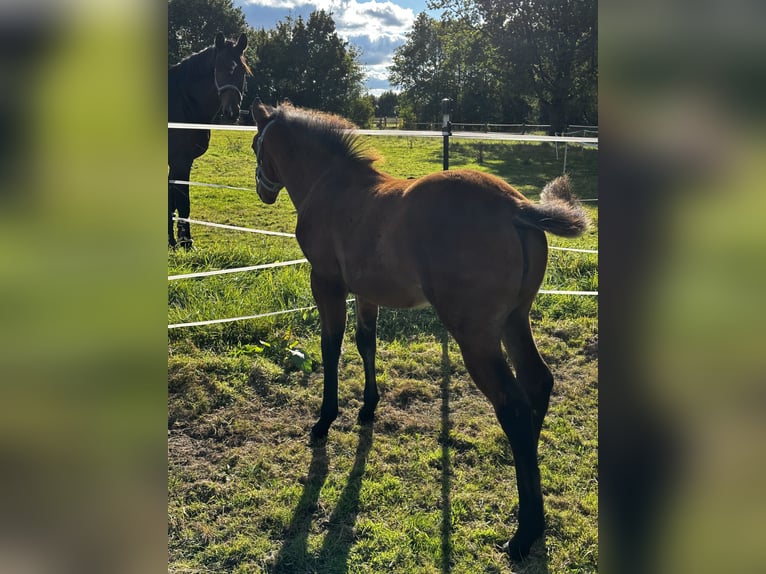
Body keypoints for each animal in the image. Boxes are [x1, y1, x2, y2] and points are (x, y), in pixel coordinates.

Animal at [169, 31, 250, 248]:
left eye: (243, 72)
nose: (231, 113)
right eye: (218, 68)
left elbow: (172, 201)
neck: (183, 103)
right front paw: (185, 242)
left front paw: (173, 241)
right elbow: (182, 201)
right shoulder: (180, 161)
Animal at [249, 101, 592, 560]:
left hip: (476, 335)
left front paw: (324, 422)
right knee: (538, 383)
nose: (263, 189)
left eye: (257, 144)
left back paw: (524, 533)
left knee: (514, 406)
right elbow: (366, 343)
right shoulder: (366, 291)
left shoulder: (326, 282)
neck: (331, 184)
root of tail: (514, 206)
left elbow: (331, 346)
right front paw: (368, 408)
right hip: (515, 319)